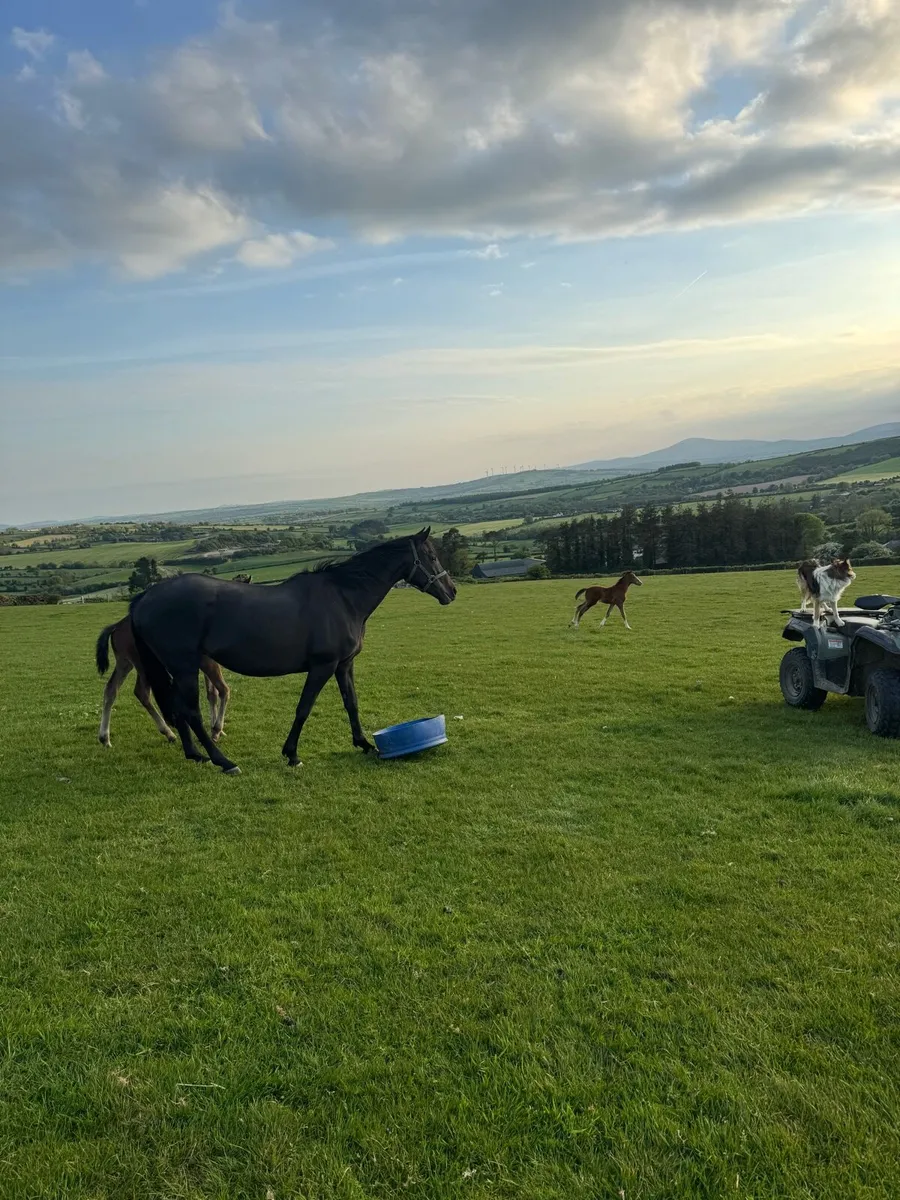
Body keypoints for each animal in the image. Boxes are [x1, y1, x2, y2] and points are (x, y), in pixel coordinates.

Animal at [129, 528, 456, 774]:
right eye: (431, 556)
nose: (451, 591)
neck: (342, 597)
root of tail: (146, 597)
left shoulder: (343, 665)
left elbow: (351, 703)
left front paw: (363, 744)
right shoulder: (323, 666)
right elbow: (303, 708)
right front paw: (292, 755)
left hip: (176, 668)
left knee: (176, 707)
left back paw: (195, 754)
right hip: (185, 666)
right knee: (191, 712)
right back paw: (224, 762)